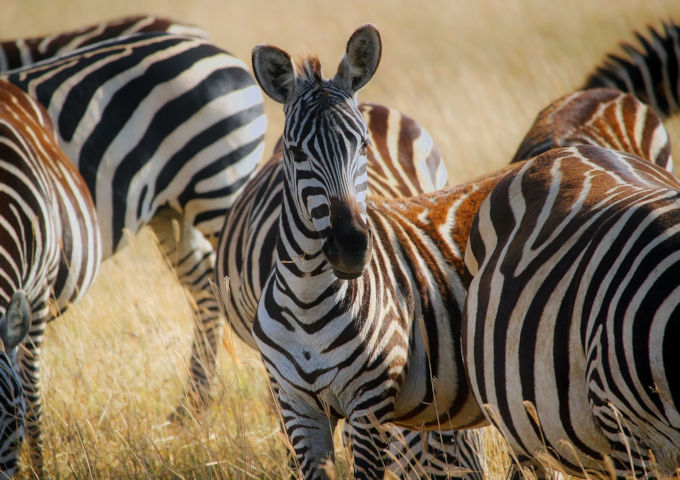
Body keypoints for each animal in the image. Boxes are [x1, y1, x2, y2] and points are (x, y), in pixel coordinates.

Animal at [248, 24, 488, 478]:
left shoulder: (369, 407)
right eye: (295, 152)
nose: (351, 248)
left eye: (362, 146)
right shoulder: (297, 408)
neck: (307, 300)